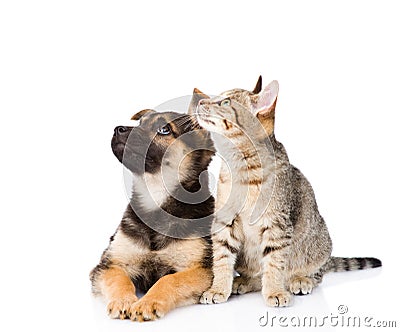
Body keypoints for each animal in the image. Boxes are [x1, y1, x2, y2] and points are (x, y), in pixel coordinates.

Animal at [90, 89, 216, 320]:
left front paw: (148, 302)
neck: (156, 200)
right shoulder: (111, 264)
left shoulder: (201, 269)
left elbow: (169, 280)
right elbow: (118, 279)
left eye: (164, 129)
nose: (118, 129)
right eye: (140, 122)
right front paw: (123, 300)